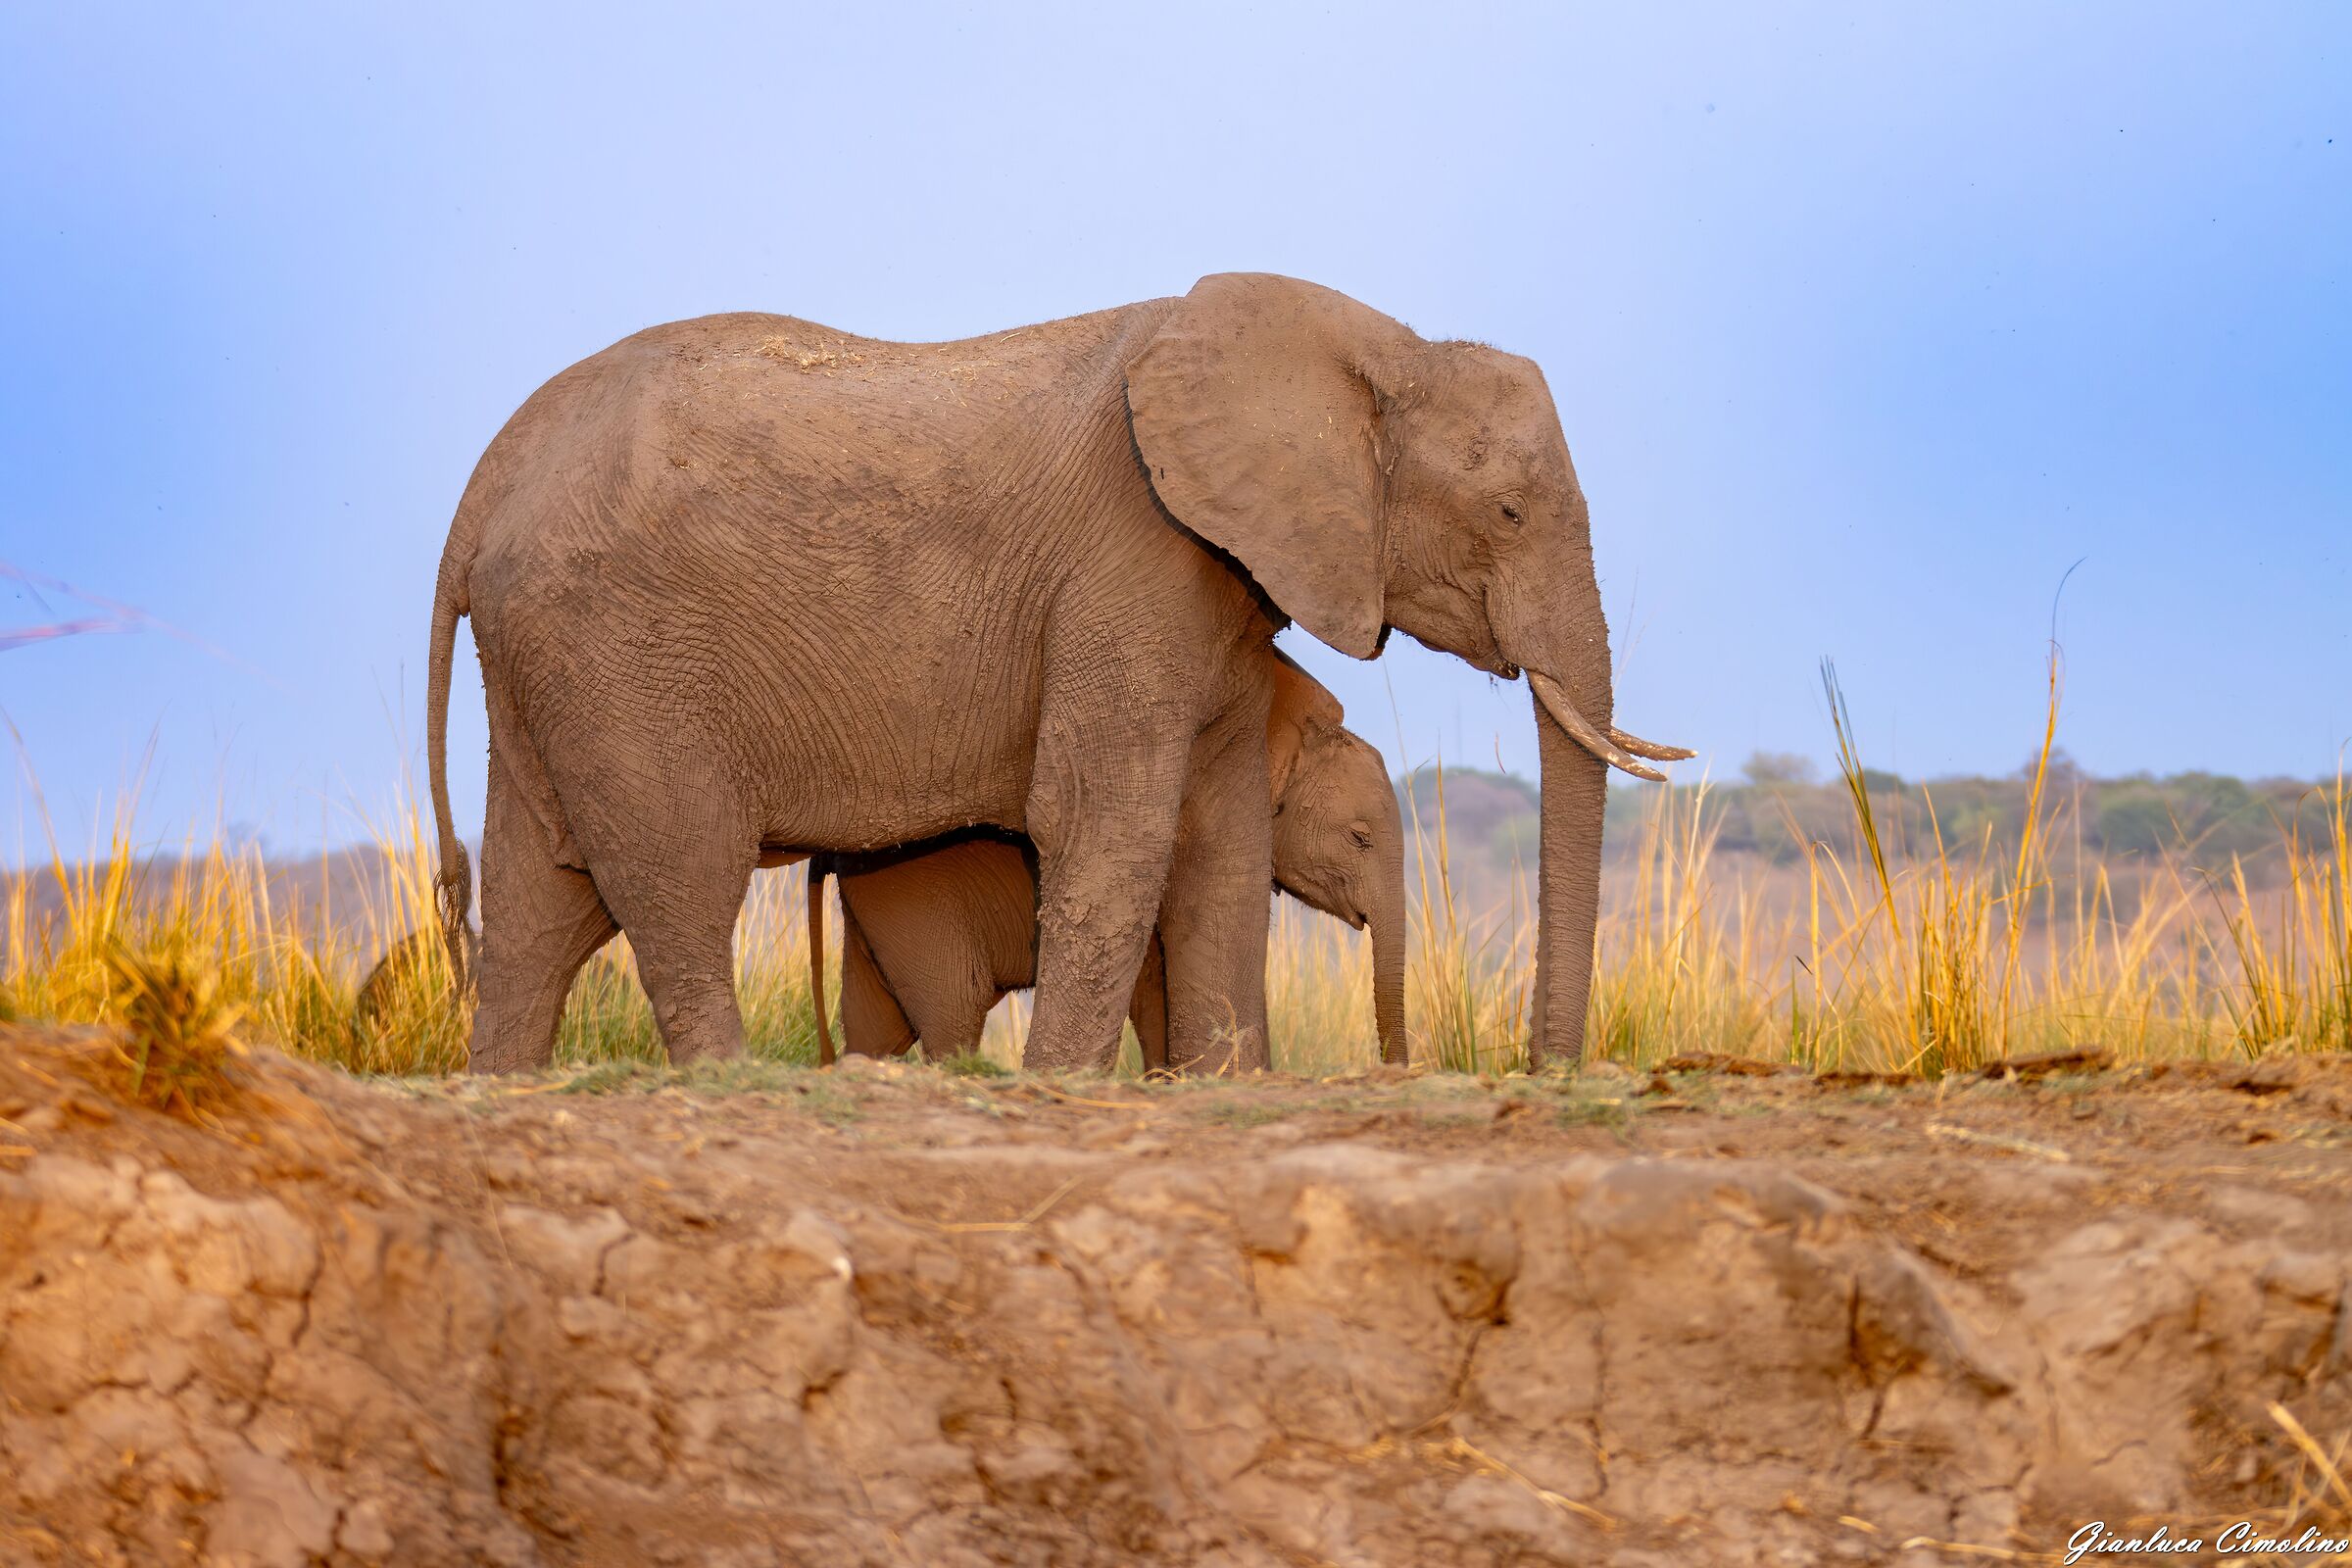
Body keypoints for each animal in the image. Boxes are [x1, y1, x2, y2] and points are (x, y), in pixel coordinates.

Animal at [807, 650, 1408, 1068]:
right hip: (914, 897)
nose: (1393, 1072)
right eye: (1359, 838)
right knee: (955, 1007)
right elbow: (1152, 986)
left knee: (879, 1026)